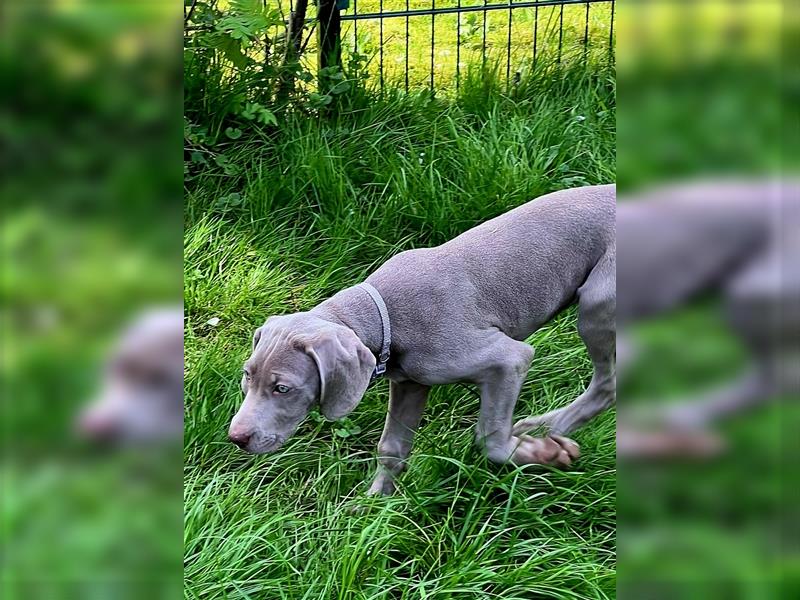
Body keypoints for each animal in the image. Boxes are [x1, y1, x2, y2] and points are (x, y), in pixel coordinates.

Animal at [228, 185, 616, 494]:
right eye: (247, 377)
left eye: (283, 388)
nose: (236, 438)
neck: (385, 315)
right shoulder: (411, 383)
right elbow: (391, 447)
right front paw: (374, 506)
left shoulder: (508, 360)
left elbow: (489, 438)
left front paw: (541, 454)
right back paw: (544, 427)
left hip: (598, 303)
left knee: (607, 384)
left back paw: (551, 432)